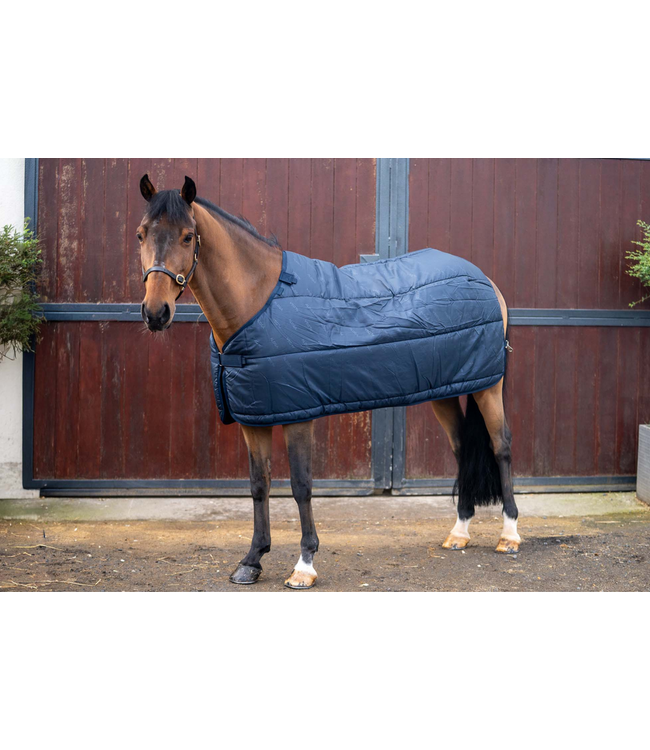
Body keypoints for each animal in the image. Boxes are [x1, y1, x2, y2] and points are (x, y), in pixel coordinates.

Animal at [138, 174, 521, 590]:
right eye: (141, 234)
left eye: (188, 236)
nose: (156, 313)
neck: (260, 303)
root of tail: (485, 279)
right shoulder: (254, 418)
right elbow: (259, 484)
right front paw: (252, 560)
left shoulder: (298, 415)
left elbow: (301, 486)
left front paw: (304, 565)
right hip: (446, 392)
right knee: (462, 449)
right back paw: (459, 533)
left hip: (487, 387)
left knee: (500, 445)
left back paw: (509, 535)